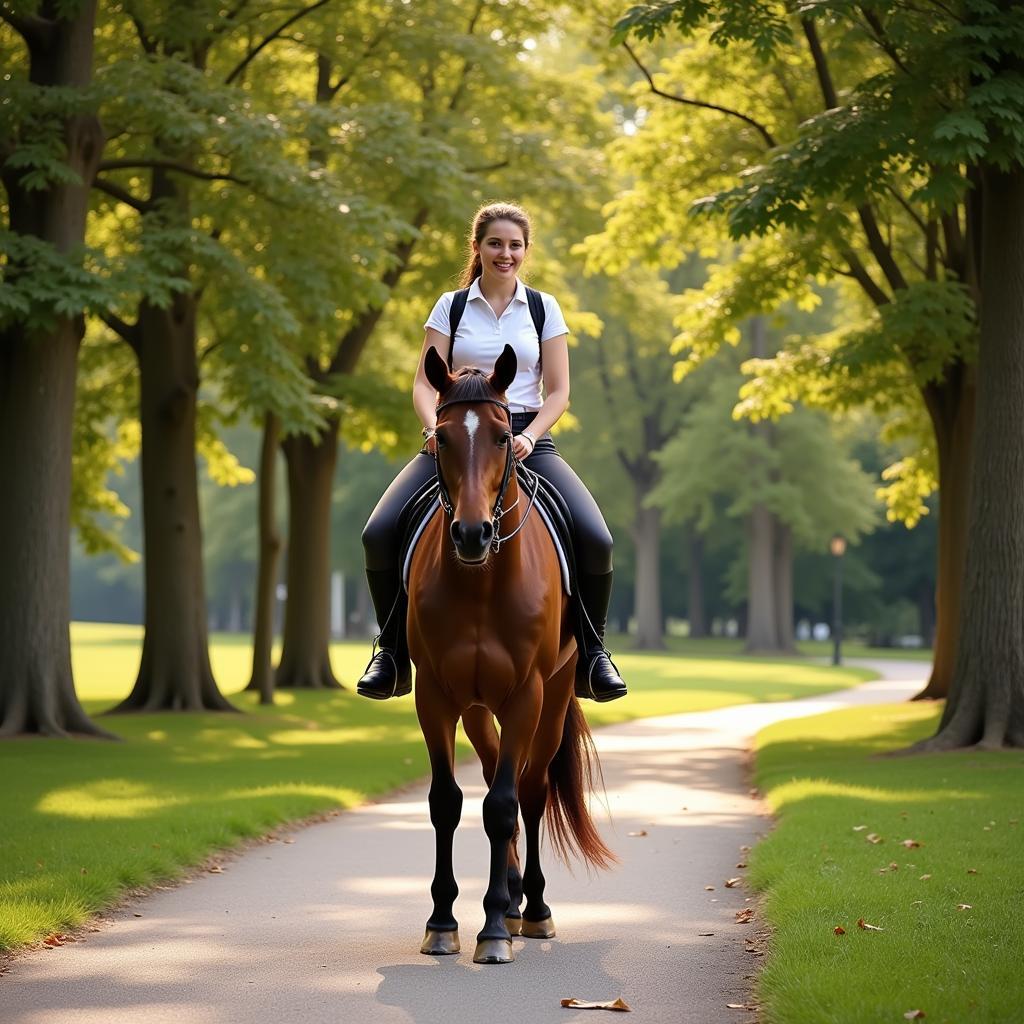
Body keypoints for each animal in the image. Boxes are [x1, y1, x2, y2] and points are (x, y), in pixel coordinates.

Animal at [405, 346, 614, 966]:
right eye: (443, 437)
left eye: (502, 437)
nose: (471, 533)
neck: (482, 581)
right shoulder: (435, 696)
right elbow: (446, 802)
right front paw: (443, 922)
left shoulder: (526, 695)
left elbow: (502, 804)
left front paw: (494, 928)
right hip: (478, 708)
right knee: (500, 769)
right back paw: (517, 896)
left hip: (556, 695)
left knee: (530, 790)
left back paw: (534, 909)